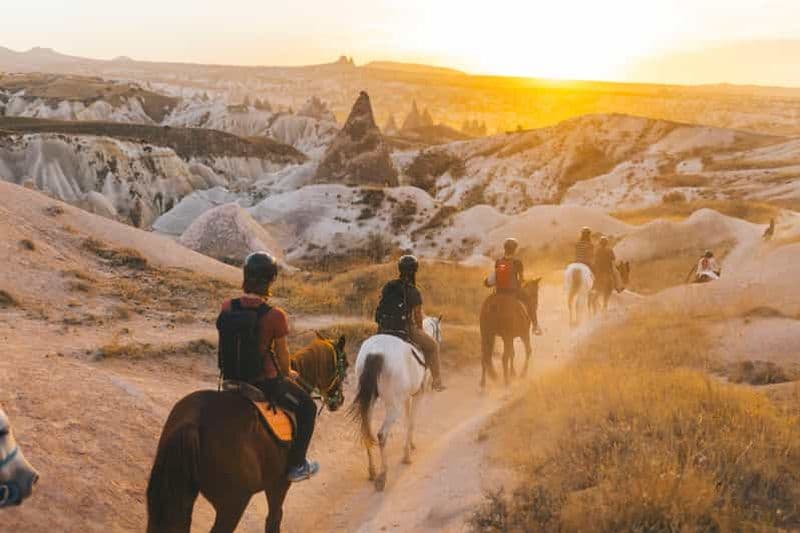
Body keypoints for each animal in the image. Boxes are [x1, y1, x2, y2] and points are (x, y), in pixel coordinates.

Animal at [146, 334, 347, 533]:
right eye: (344, 365)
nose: (339, 400)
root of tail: (193, 422)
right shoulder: (279, 483)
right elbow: (274, 519)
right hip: (233, 503)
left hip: (180, 496)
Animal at [350, 316, 442, 492]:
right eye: (439, 330)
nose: (440, 341)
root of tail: (375, 353)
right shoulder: (418, 394)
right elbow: (412, 422)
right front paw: (406, 456)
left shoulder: (406, 397)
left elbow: (407, 420)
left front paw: (410, 445)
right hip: (393, 406)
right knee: (381, 435)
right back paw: (382, 476)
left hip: (370, 401)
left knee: (367, 430)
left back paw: (372, 471)